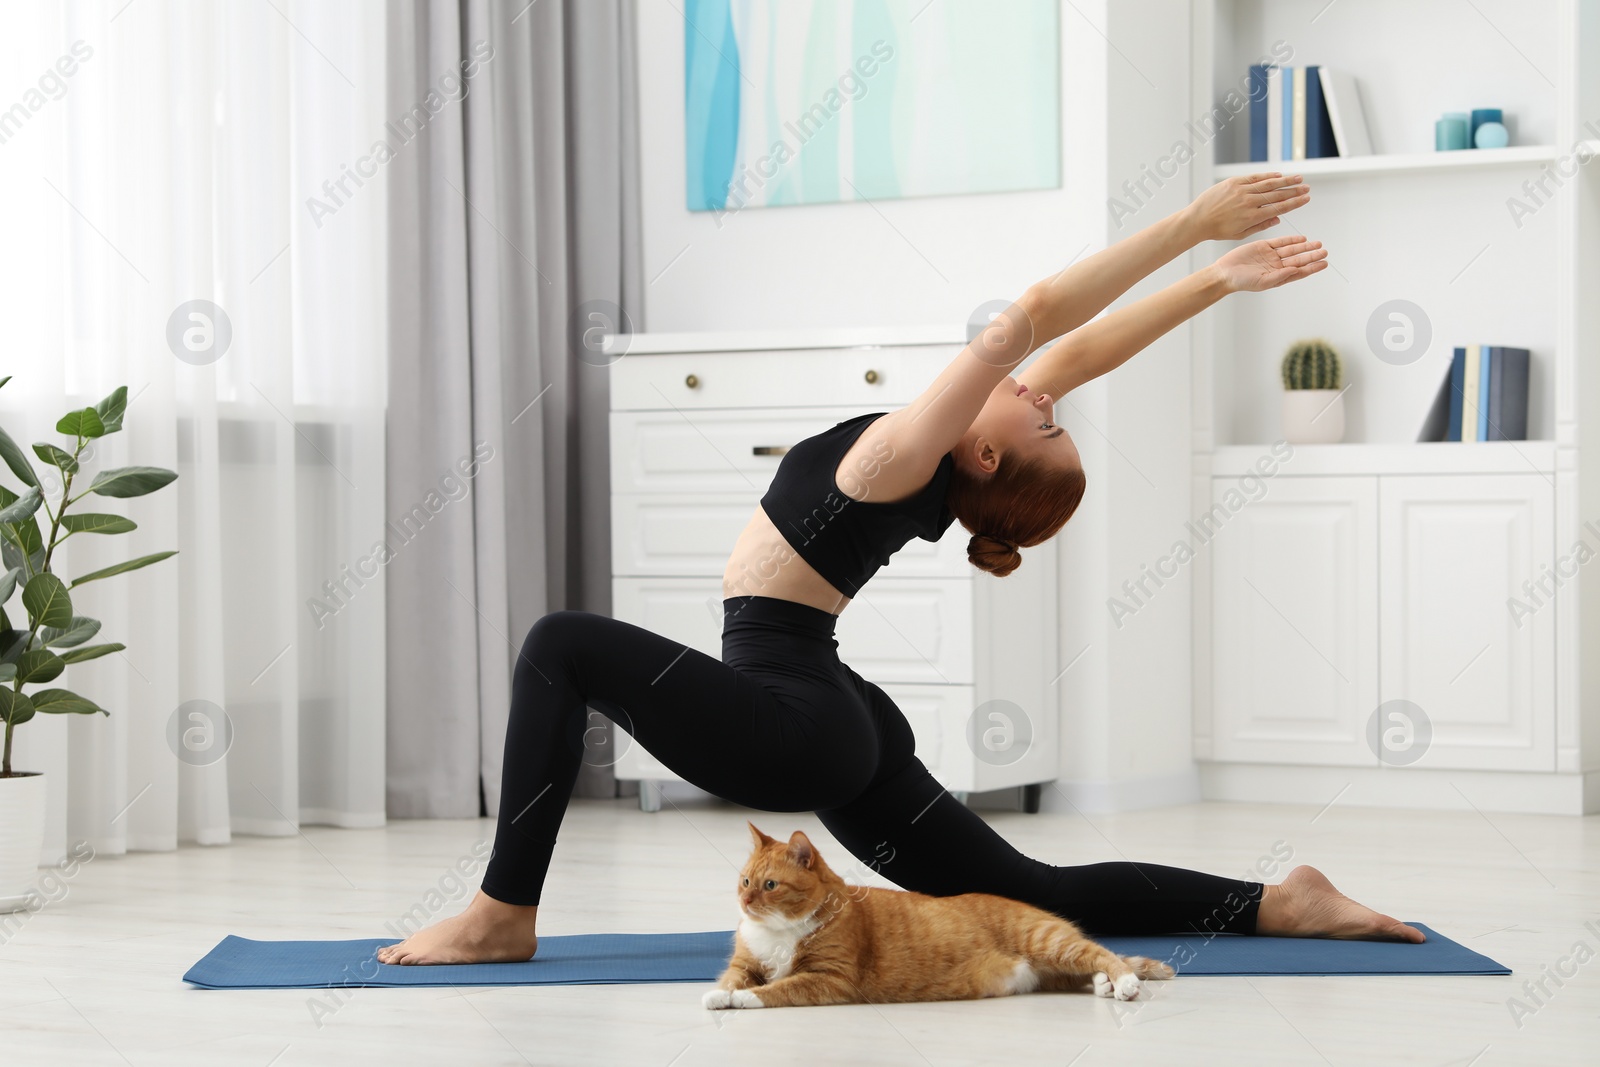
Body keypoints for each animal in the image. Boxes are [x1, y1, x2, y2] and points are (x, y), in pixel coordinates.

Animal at [700, 825, 1177, 1011]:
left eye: (770, 886)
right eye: (745, 881)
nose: (745, 902)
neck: (777, 931)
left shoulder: (831, 978)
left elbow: (781, 987)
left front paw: (745, 999)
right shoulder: (745, 962)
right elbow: (732, 977)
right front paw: (720, 994)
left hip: (1048, 942)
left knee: (1103, 953)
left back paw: (1122, 982)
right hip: (1050, 967)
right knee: (1085, 971)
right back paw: (1103, 985)